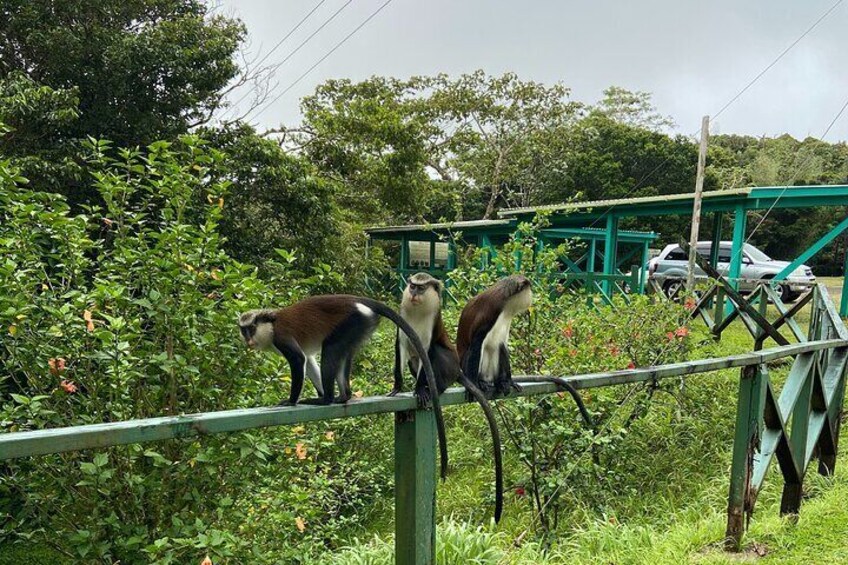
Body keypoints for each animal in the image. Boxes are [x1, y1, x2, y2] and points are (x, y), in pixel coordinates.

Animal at [390, 274, 504, 520]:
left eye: (421, 288)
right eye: (412, 285)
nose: (413, 293)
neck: (418, 311)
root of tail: (458, 369)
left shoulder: (432, 324)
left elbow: (426, 351)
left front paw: (421, 390)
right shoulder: (403, 322)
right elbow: (401, 347)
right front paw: (397, 387)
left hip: (448, 366)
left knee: (434, 354)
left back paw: (433, 388)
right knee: (413, 360)